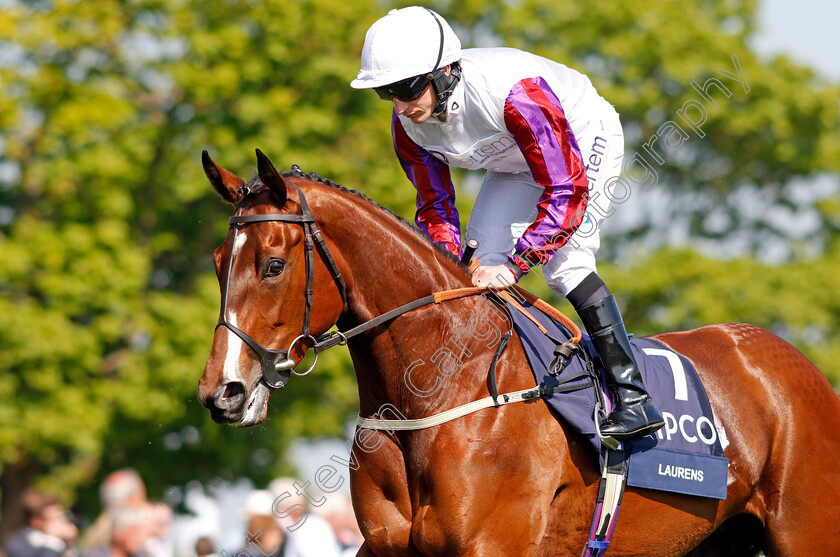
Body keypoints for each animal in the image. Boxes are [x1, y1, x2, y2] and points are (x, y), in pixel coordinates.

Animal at [195, 150, 840, 552]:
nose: (222, 392)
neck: (442, 388)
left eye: (273, 266)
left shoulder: (492, 545)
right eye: (218, 262)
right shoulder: (386, 547)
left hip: (806, 532)